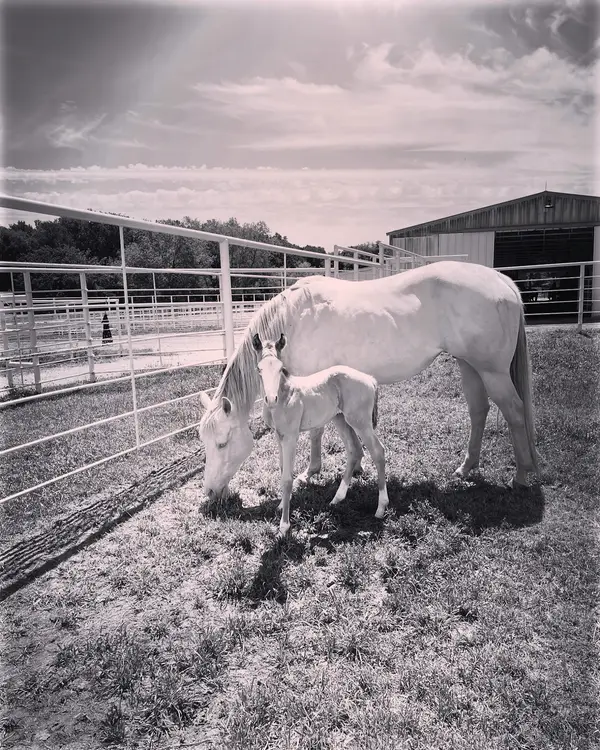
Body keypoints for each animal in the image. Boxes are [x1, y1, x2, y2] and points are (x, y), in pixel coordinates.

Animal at [198, 261, 539, 504]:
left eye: (222, 443)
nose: (210, 493)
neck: (294, 319)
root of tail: (500, 279)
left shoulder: (314, 384)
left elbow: (317, 430)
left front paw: (312, 471)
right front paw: (355, 467)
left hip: (492, 372)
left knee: (514, 411)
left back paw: (521, 475)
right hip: (470, 367)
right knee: (479, 410)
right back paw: (466, 468)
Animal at [252, 332, 388, 535]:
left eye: (281, 368)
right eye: (259, 369)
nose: (270, 399)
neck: (285, 396)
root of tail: (370, 378)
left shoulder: (291, 437)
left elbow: (287, 478)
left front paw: (284, 525)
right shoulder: (278, 436)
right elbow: (283, 469)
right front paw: (281, 505)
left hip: (361, 423)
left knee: (378, 451)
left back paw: (381, 507)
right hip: (341, 420)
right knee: (354, 450)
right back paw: (337, 498)